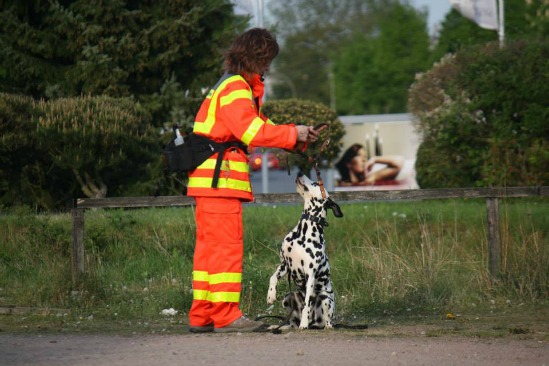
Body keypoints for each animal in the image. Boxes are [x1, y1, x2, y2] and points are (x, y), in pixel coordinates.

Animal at [266, 172, 342, 328]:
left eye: (316, 183)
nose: (300, 172)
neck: (303, 233)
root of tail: (315, 323)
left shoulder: (310, 274)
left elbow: (307, 303)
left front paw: (304, 323)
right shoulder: (285, 264)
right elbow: (273, 277)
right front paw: (270, 295)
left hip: (326, 300)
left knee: (327, 321)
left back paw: (316, 324)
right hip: (288, 297)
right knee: (291, 321)